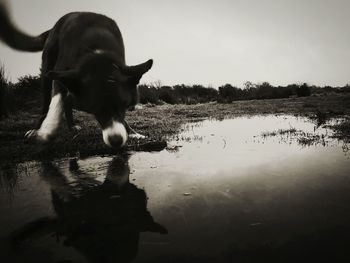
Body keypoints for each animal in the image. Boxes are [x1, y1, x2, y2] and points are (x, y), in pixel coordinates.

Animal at [0, 1, 152, 148]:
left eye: (124, 105)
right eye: (96, 108)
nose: (116, 141)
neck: (97, 57)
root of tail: (53, 28)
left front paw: (132, 132)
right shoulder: (61, 73)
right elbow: (56, 101)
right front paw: (47, 130)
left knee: (67, 101)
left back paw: (71, 126)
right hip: (47, 69)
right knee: (47, 102)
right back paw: (37, 128)